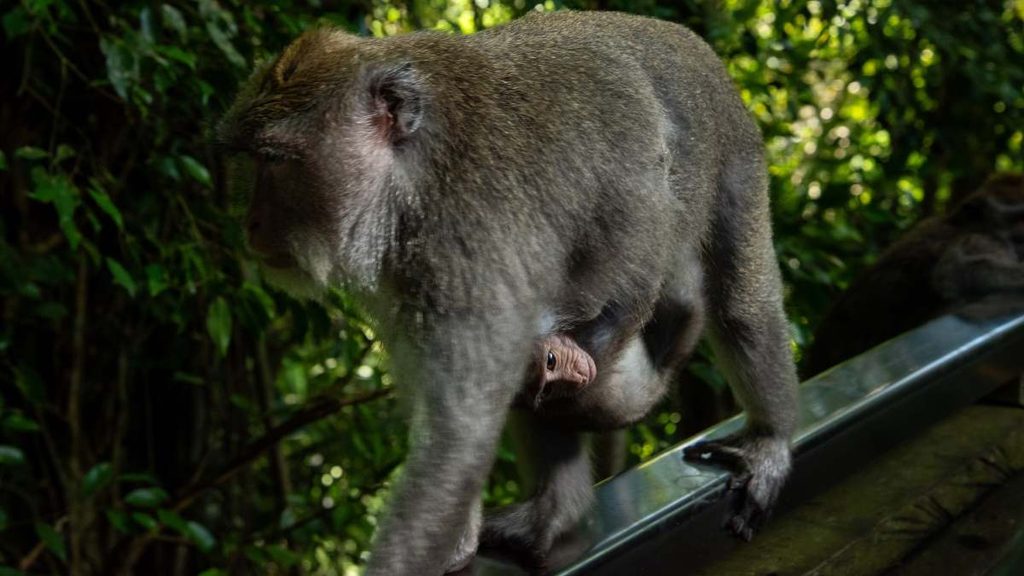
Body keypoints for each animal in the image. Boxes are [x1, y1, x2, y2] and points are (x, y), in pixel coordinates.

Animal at [219, 10, 798, 575]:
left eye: (274, 160)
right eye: (251, 160)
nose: (249, 224)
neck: (410, 172)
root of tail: (683, 38)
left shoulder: (464, 239)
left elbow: (458, 436)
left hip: (733, 150)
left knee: (735, 309)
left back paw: (766, 435)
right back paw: (554, 515)